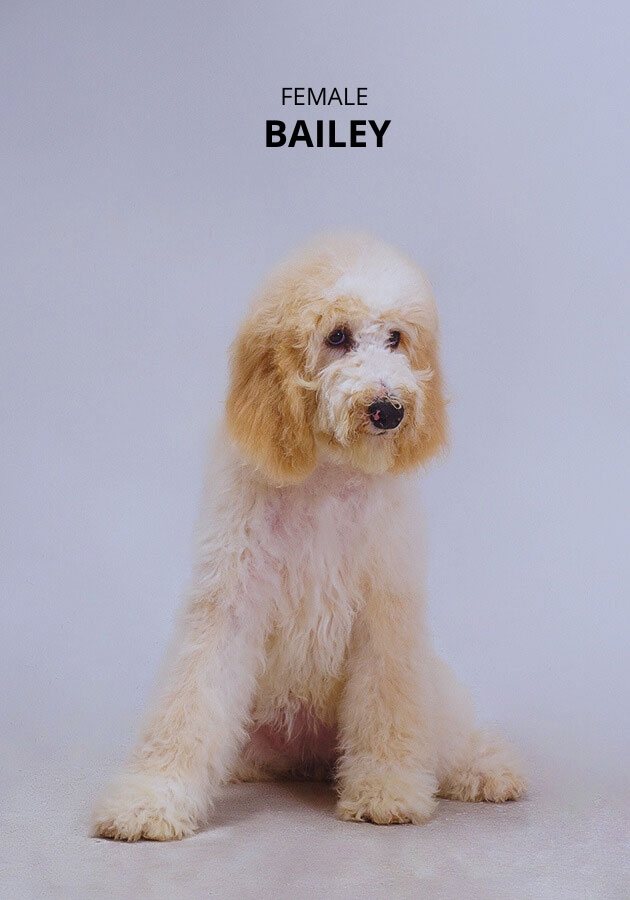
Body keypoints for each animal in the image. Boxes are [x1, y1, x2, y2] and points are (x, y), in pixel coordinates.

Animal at [93, 233, 525, 840]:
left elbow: (389, 709)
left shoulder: (385, 615)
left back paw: (490, 770)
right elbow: (188, 703)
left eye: (396, 337)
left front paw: (386, 790)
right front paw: (150, 800)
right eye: (337, 336)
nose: (389, 409)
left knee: (450, 732)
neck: (327, 475)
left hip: (433, 689)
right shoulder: (227, 604)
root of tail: (306, 757)